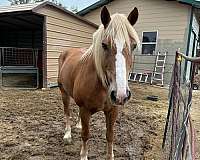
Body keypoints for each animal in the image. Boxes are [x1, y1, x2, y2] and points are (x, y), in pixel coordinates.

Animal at [57, 5, 139, 159]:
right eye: (104, 45)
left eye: (134, 46)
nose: (120, 95)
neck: (101, 86)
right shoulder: (85, 110)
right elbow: (85, 134)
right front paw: (83, 155)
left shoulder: (113, 110)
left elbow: (110, 135)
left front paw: (110, 156)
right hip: (64, 94)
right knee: (67, 112)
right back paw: (68, 134)